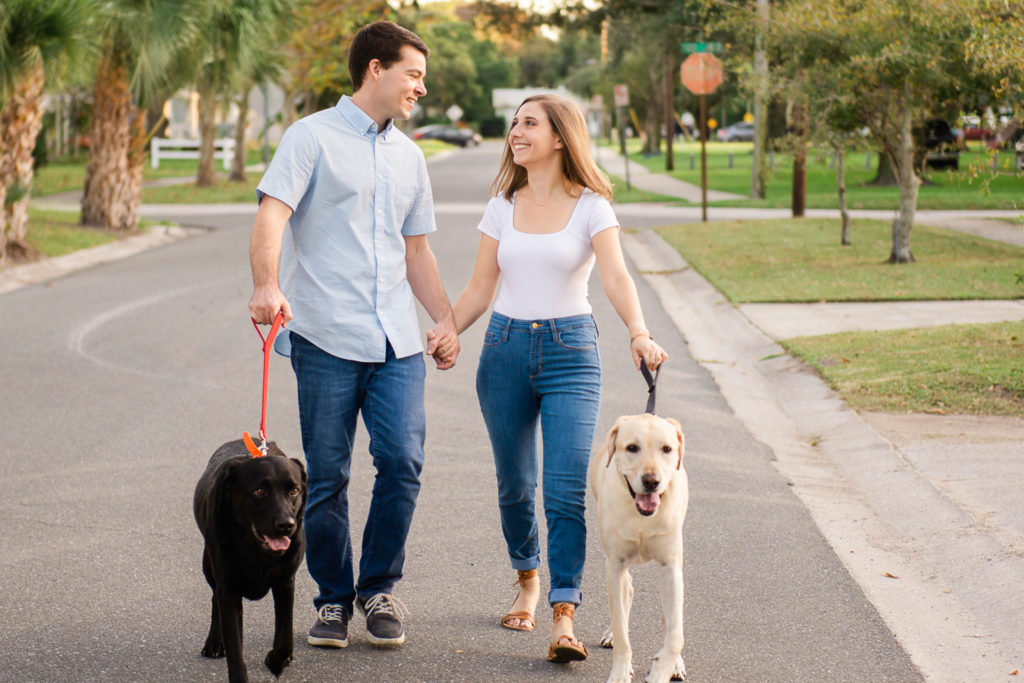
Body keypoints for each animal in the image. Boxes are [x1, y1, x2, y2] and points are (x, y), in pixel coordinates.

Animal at [192, 440, 303, 679]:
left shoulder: (285, 582)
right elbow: (236, 654)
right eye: (260, 491)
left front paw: (276, 660)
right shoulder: (229, 590)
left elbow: (285, 635)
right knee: (214, 598)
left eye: (294, 490)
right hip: (208, 565)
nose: (286, 525)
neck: (257, 550)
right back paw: (214, 642)